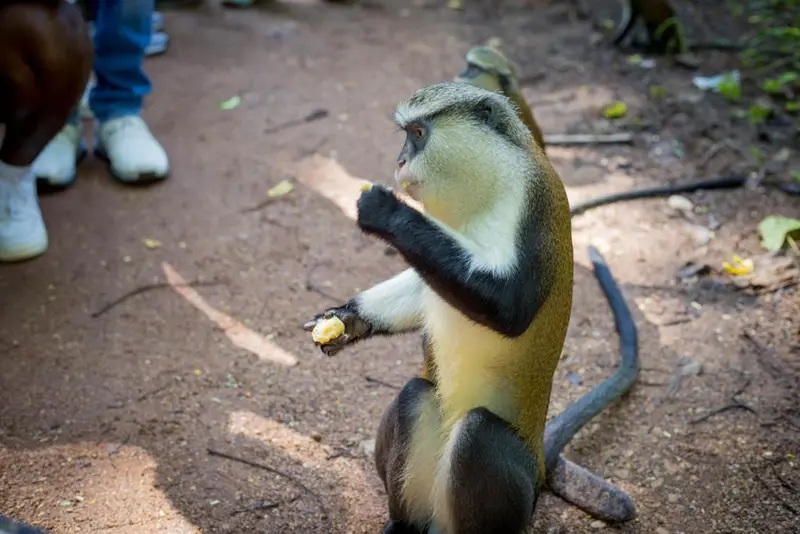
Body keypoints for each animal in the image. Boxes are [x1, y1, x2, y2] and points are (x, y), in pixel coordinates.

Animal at [304, 82, 639, 533]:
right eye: (407, 135)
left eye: (418, 134)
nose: (399, 160)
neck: (486, 182)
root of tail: (538, 463)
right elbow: (424, 285)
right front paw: (347, 320)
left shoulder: (533, 204)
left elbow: (511, 309)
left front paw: (386, 212)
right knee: (414, 394)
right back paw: (404, 525)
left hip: (514, 490)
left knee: (477, 430)